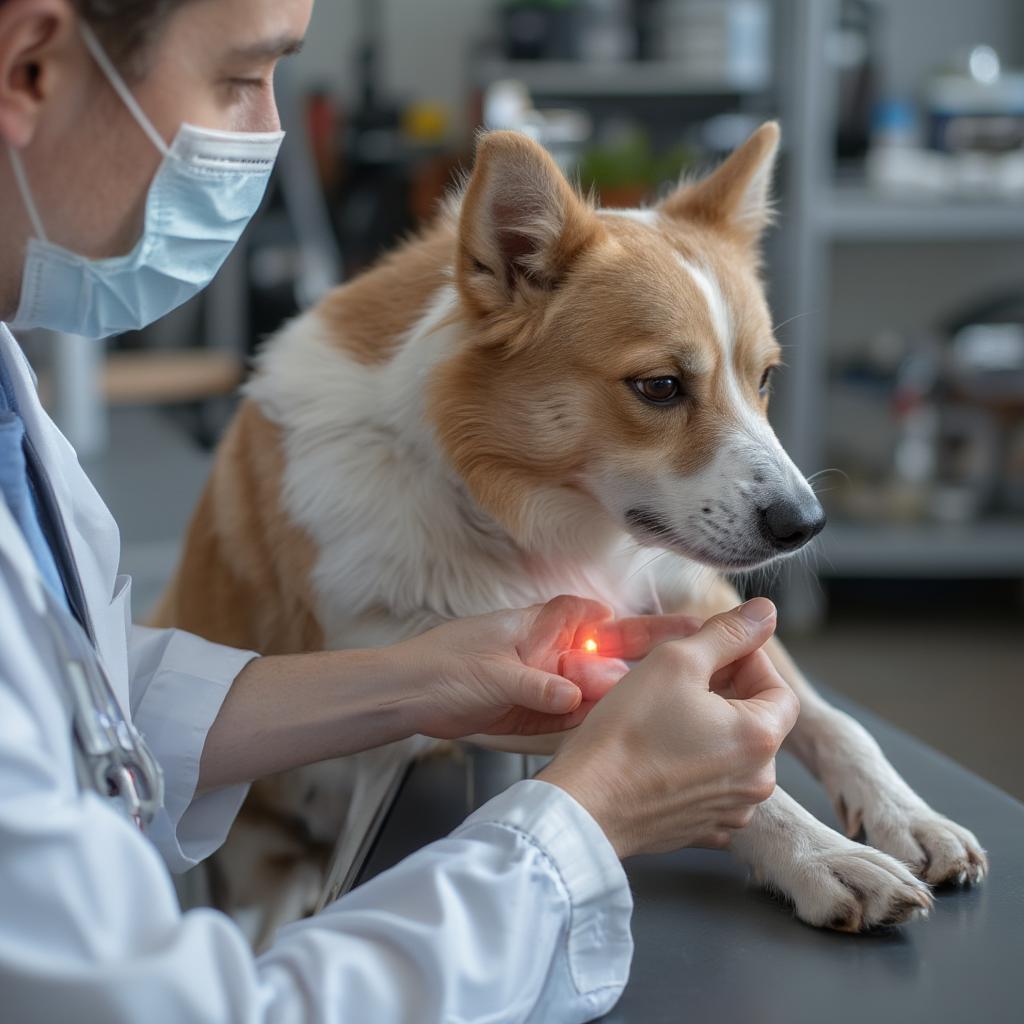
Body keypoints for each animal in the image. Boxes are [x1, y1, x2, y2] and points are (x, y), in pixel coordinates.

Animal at [155, 123, 987, 937]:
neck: (531, 512)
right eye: (660, 387)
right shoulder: (473, 675)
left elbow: (834, 720)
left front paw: (905, 816)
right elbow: (737, 776)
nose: (805, 525)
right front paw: (820, 855)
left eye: (766, 379)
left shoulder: (695, 590)